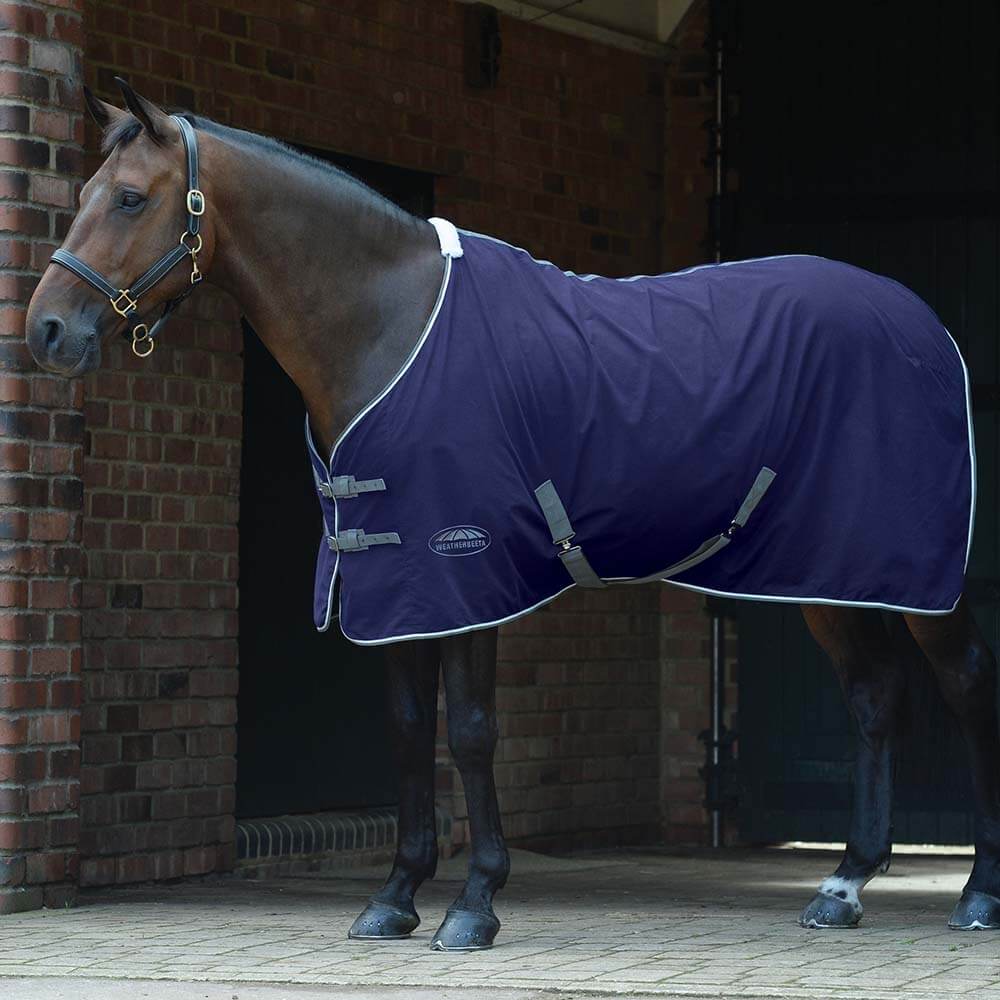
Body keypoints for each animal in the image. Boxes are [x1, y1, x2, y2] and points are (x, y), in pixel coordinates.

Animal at [25, 79, 1000, 948]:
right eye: (79, 195)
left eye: (129, 198)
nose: (45, 332)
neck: (390, 323)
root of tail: (925, 328)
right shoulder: (395, 580)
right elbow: (409, 732)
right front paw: (395, 898)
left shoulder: (463, 572)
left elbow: (469, 734)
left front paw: (474, 906)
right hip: (828, 575)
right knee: (874, 699)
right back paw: (844, 886)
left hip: (919, 578)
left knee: (965, 687)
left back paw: (977, 894)